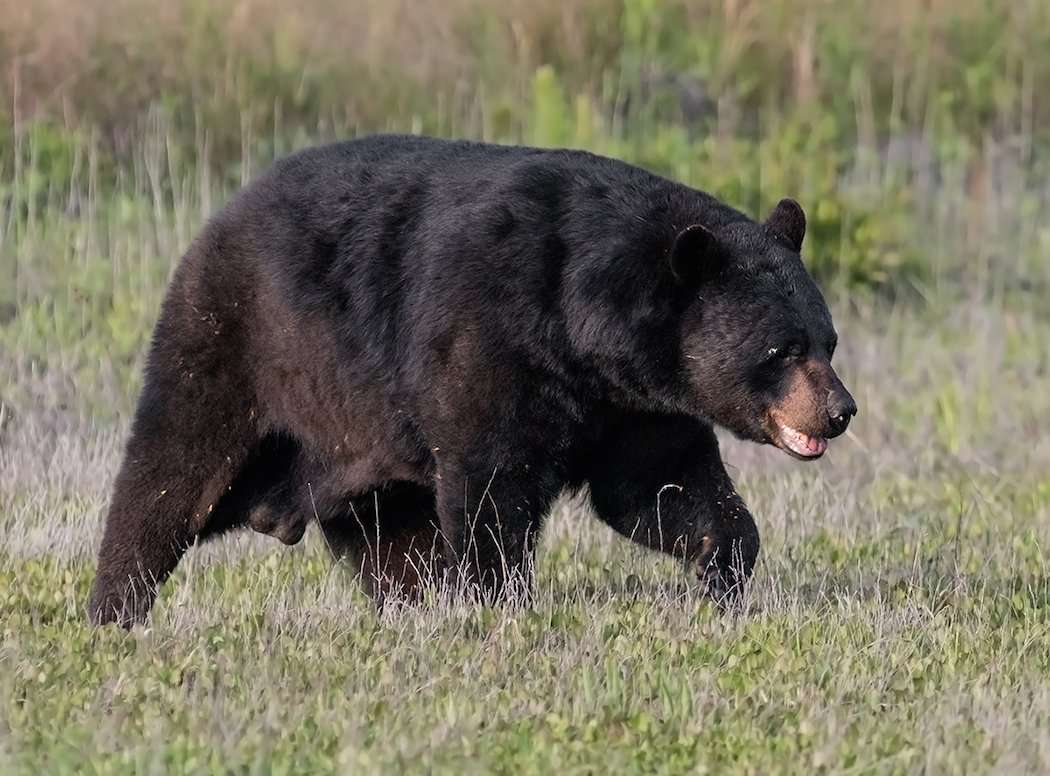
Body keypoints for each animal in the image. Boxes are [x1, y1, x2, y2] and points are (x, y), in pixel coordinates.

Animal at [87, 134, 856, 627]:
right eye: (782, 349)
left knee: (390, 537)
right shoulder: (489, 340)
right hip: (239, 344)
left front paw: (722, 571)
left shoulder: (631, 404)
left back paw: (413, 608)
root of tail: (220, 215)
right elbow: (493, 481)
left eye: (828, 340)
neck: (580, 325)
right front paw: (500, 601)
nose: (840, 410)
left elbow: (661, 486)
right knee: (171, 474)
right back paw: (115, 608)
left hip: (361, 440)